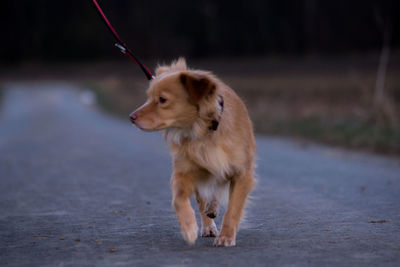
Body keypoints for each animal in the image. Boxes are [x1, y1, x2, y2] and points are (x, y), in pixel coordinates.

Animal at [131, 58, 256, 247]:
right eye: (148, 98)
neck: (203, 131)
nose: (131, 117)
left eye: (162, 99)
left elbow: (233, 209)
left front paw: (226, 236)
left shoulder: (241, 173)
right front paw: (188, 227)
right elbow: (179, 199)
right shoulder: (185, 171)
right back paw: (208, 223)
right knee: (203, 198)